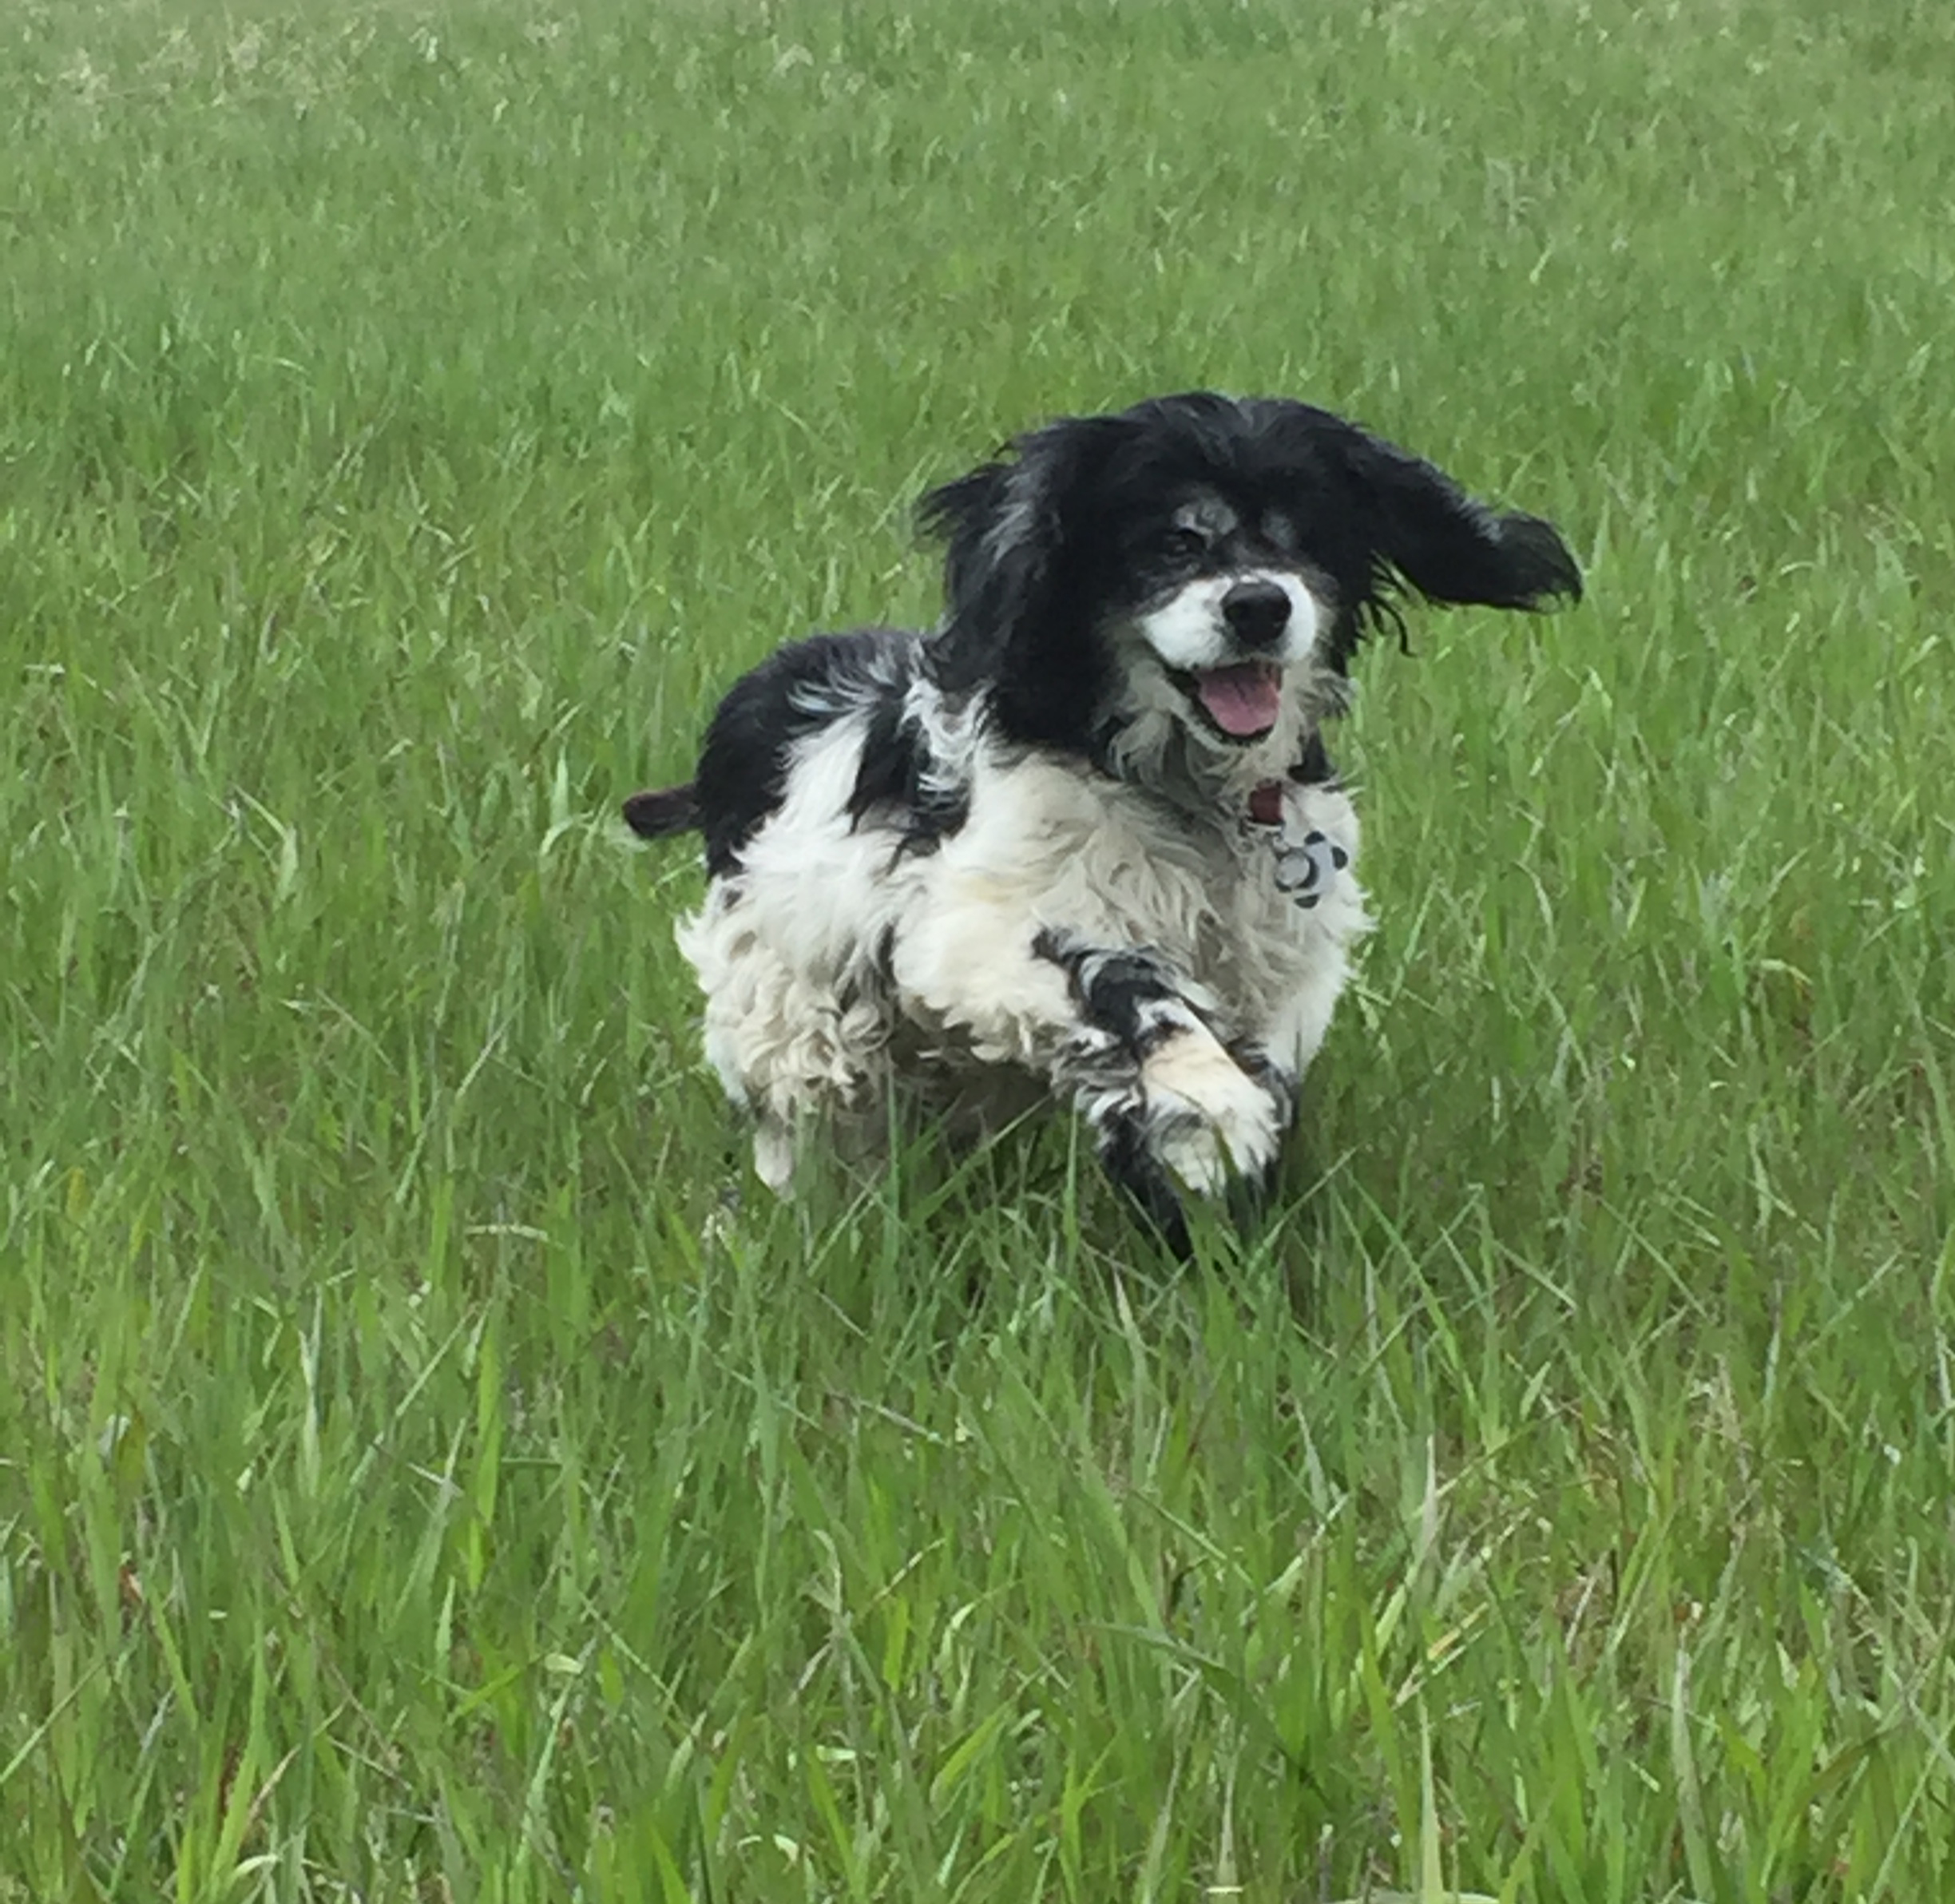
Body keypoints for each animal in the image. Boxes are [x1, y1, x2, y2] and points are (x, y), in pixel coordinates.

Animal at [633, 392, 1579, 1251]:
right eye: (1173, 541)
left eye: (1299, 535)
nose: (1259, 604)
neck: (1191, 799)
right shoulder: (981, 926)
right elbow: (1126, 985)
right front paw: (1213, 1104)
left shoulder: (1286, 963)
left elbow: (1255, 1071)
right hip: (794, 1029)